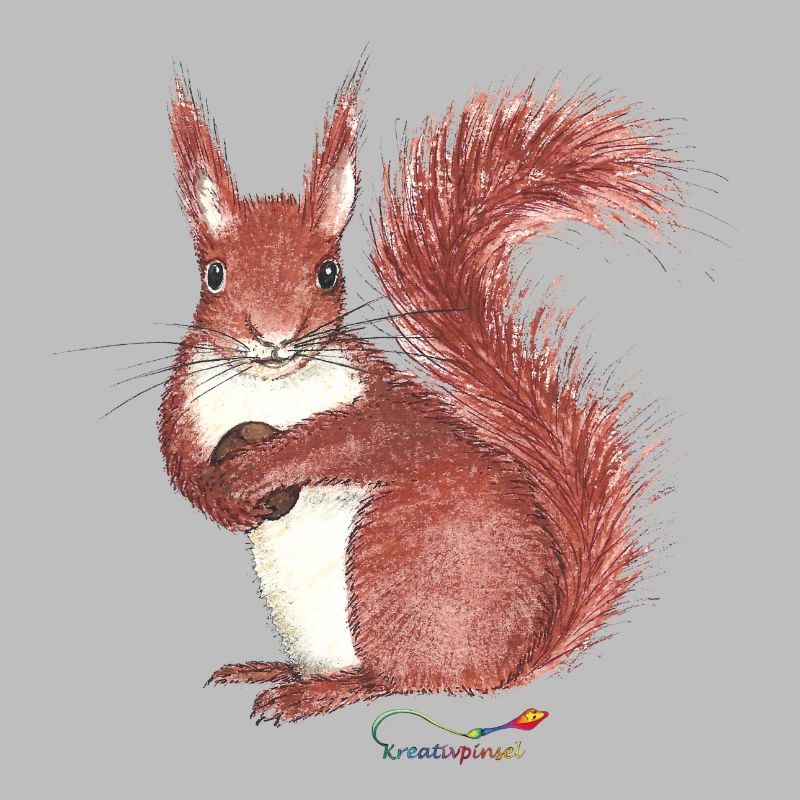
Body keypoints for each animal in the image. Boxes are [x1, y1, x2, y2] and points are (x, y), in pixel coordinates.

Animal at [159, 64, 680, 725]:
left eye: (328, 272)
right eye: (214, 274)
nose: (275, 339)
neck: (270, 388)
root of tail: (510, 666)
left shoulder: (380, 404)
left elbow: (348, 439)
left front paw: (261, 466)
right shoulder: (185, 401)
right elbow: (178, 461)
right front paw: (217, 498)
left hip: (393, 567)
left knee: (400, 681)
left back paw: (317, 692)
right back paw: (273, 670)